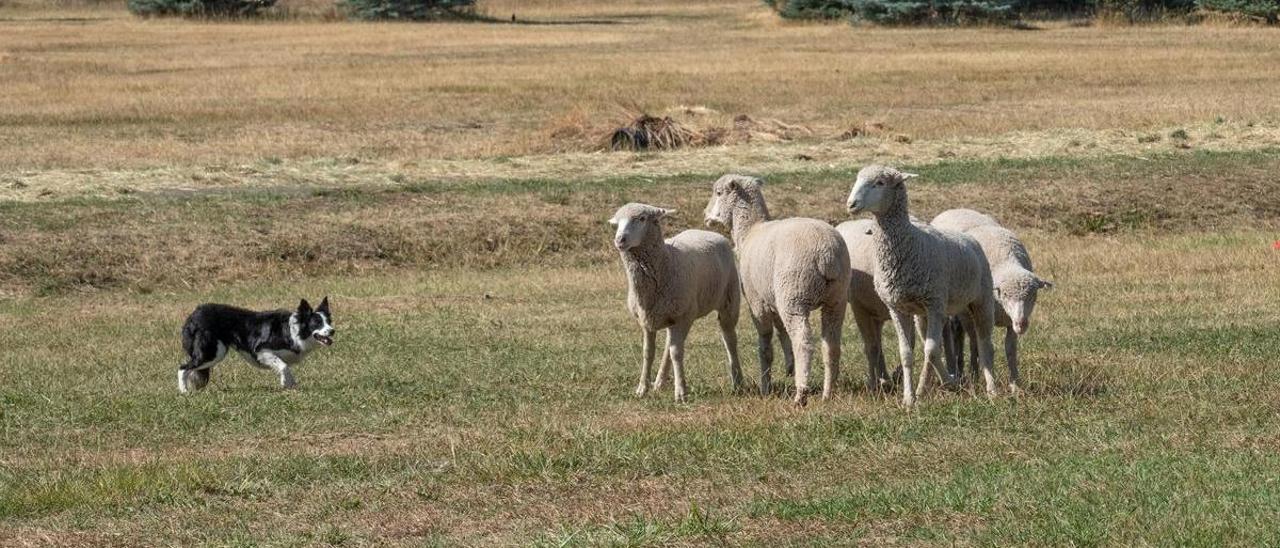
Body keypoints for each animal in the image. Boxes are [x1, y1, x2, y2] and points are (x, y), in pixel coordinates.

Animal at [180, 297, 340, 391]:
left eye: (329, 322)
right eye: (317, 323)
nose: (332, 331)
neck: (292, 332)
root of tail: (195, 314)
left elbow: (287, 369)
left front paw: (291, 386)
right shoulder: (262, 350)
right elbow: (283, 366)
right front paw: (284, 383)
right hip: (213, 352)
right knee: (183, 368)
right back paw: (184, 392)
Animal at [609, 202, 742, 402]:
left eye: (641, 219)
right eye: (617, 223)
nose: (620, 240)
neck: (666, 262)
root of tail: (710, 233)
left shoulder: (682, 317)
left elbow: (677, 354)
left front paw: (680, 392)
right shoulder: (647, 320)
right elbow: (648, 353)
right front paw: (642, 388)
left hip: (727, 302)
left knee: (730, 340)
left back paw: (737, 380)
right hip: (673, 314)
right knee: (668, 346)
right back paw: (659, 382)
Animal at [701, 172, 849, 404]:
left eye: (718, 192)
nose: (705, 215)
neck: (750, 230)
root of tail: (827, 255)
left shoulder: (757, 303)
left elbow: (765, 347)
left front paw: (765, 387)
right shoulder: (774, 298)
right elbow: (781, 332)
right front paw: (789, 366)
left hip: (794, 295)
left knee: (803, 342)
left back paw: (801, 393)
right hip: (835, 298)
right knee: (831, 345)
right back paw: (827, 393)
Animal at [849, 165, 998, 404]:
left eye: (880, 183)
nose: (851, 204)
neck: (910, 243)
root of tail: (969, 238)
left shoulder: (935, 304)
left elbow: (931, 350)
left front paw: (948, 382)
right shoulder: (898, 308)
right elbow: (908, 353)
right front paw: (909, 398)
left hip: (981, 299)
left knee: (985, 345)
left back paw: (991, 389)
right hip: (925, 313)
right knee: (934, 345)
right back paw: (925, 388)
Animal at [931, 211, 1049, 394]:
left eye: (1032, 295)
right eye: (1005, 295)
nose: (1022, 323)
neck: (1006, 261)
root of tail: (952, 210)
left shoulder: (1010, 322)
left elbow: (1010, 350)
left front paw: (1015, 384)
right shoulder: (976, 315)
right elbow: (980, 346)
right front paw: (979, 377)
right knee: (958, 334)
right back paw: (962, 371)